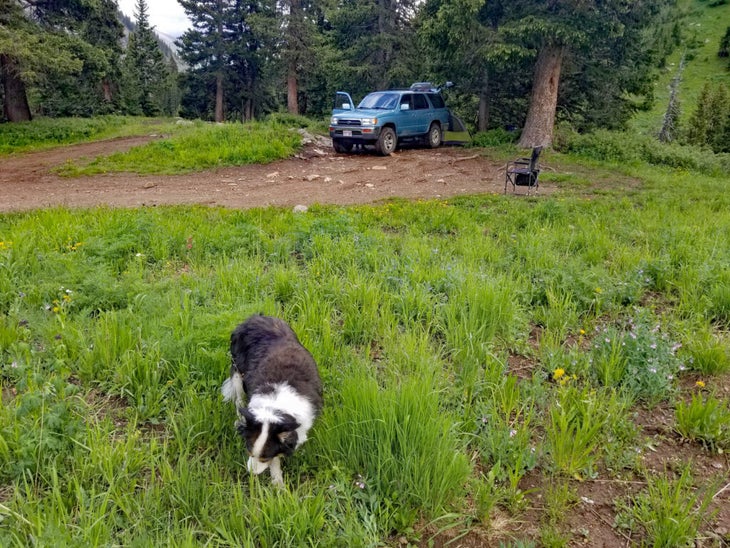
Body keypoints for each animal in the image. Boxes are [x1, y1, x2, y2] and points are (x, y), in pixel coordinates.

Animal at [219, 314, 322, 486]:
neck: (276, 406)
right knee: (239, 396)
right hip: (237, 369)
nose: (251, 473)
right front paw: (278, 483)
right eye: (248, 451)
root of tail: (254, 317)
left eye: (264, 457)